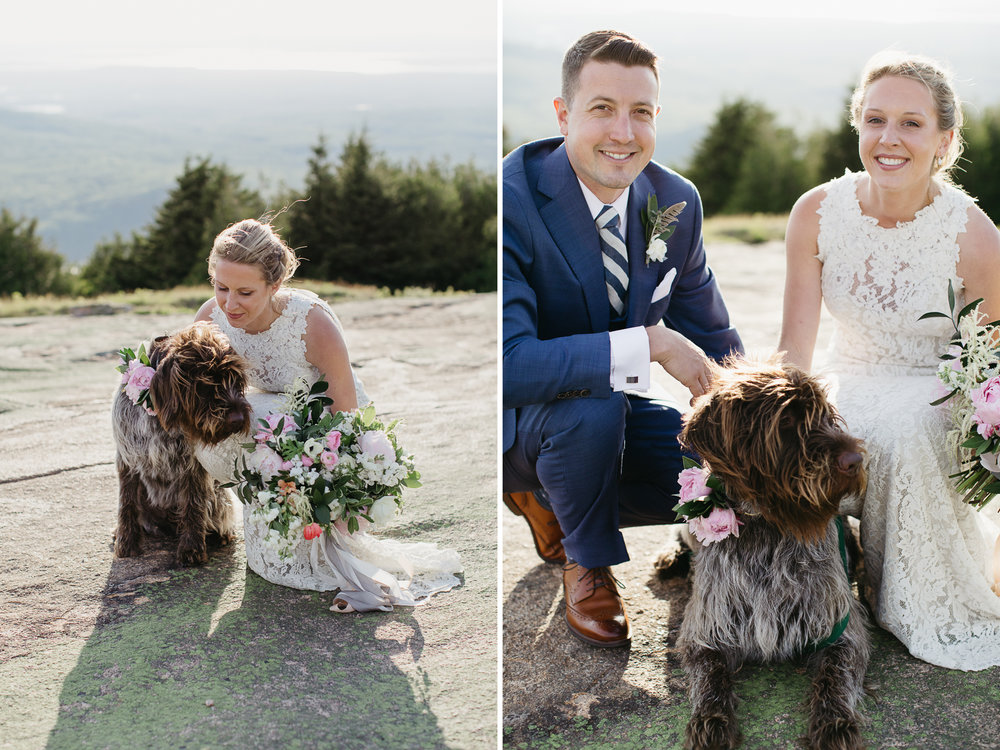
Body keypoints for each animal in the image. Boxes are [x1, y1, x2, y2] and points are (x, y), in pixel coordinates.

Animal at [113, 322, 252, 564]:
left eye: (235, 380)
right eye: (205, 382)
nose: (238, 420)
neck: (156, 414)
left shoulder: (192, 466)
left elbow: (193, 504)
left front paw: (191, 548)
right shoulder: (127, 459)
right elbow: (126, 502)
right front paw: (126, 542)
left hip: (219, 496)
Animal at [664, 358, 868, 750]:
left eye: (826, 415)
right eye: (786, 421)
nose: (855, 460)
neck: (767, 528)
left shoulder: (840, 629)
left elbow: (836, 674)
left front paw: (834, 723)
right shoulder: (707, 628)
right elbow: (709, 676)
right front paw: (710, 722)